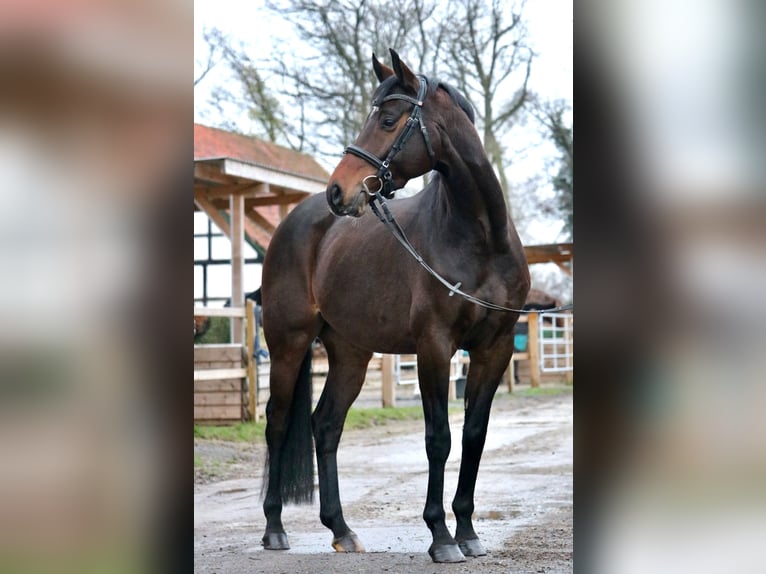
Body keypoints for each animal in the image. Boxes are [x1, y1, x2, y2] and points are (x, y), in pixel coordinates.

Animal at [260, 50, 532, 568]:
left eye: (387, 120)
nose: (339, 192)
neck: (480, 237)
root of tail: (297, 221)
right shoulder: (434, 347)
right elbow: (438, 438)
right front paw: (441, 536)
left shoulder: (496, 348)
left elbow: (474, 435)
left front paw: (468, 532)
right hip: (288, 346)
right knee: (278, 425)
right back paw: (274, 530)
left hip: (350, 352)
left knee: (325, 425)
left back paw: (341, 530)